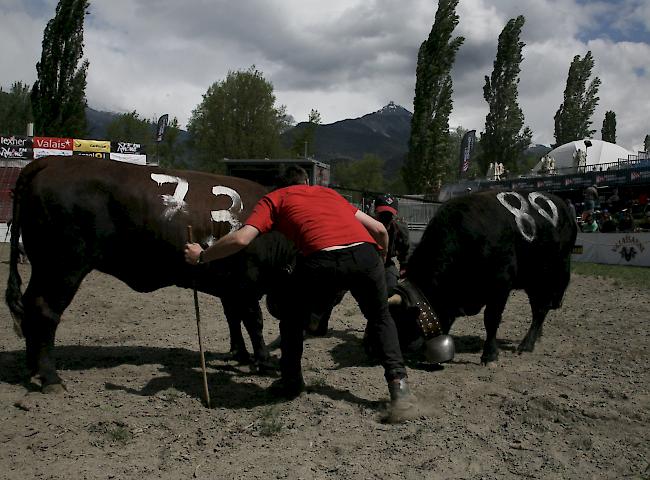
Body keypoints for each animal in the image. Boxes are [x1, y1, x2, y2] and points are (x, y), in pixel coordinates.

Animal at [388, 190, 576, 364]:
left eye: (402, 318)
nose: (401, 348)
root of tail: (563, 205)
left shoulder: (501, 284)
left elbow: (491, 319)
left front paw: (489, 355)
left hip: (548, 277)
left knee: (540, 309)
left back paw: (527, 345)